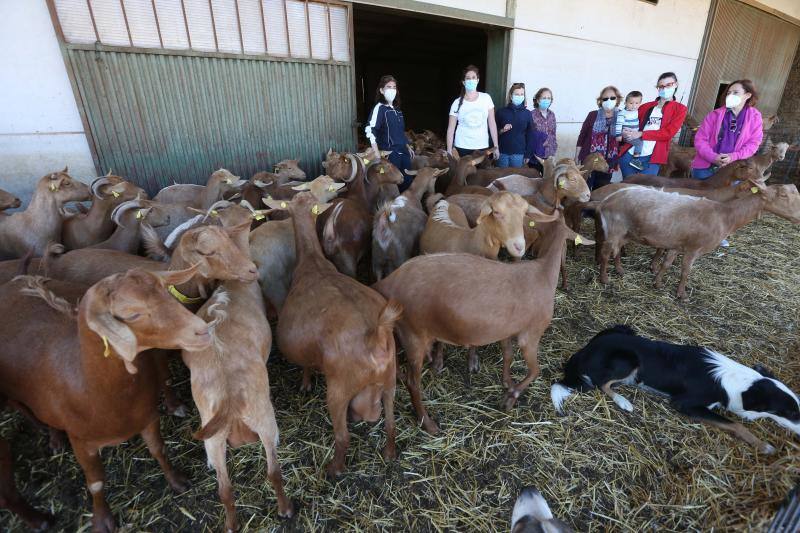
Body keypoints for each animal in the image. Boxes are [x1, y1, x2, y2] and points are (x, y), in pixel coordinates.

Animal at [0, 268, 212, 528]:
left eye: (166, 292)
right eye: (132, 314)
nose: (203, 330)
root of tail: (13, 284)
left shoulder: (148, 417)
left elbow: (158, 449)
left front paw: (178, 481)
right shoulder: (81, 441)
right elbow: (96, 483)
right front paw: (102, 520)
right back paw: (54, 439)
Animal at [264, 191, 400, 474]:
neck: (312, 261)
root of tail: (377, 338)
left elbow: (305, 365)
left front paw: (305, 384)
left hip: (339, 388)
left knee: (343, 436)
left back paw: (333, 469)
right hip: (391, 378)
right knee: (391, 422)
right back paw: (389, 453)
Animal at [374, 209, 588, 432]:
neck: (543, 272)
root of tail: (388, 283)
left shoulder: (506, 330)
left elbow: (508, 356)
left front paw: (507, 383)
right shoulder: (531, 334)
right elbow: (535, 370)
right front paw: (511, 397)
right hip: (413, 333)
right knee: (412, 382)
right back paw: (428, 423)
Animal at [552, 324, 800, 454]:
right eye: (788, 412)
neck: (741, 381)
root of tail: (585, 349)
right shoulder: (684, 403)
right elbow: (736, 424)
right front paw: (764, 446)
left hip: (626, 328)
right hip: (628, 359)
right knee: (602, 384)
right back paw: (623, 401)